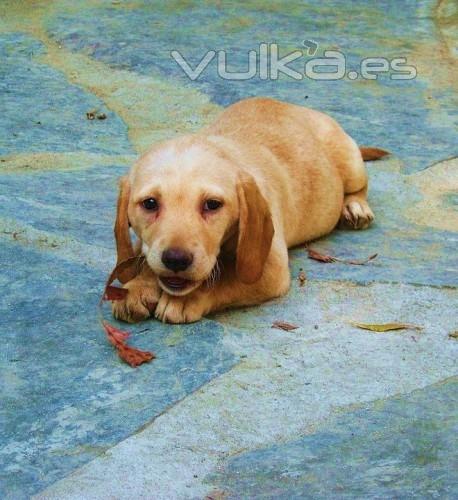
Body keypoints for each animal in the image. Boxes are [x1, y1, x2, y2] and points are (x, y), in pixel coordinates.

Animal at [111, 97, 382, 324]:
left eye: (212, 204)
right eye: (150, 203)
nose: (176, 259)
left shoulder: (270, 268)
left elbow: (225, 278)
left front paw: (187, 298)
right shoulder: (146, 245)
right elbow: (142, 258)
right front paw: (135, 287)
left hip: (350, 161)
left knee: (360, 186)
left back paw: (355, 207)